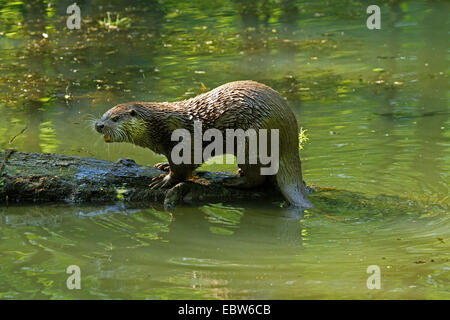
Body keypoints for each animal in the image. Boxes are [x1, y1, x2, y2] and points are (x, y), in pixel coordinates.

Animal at [95, 81, 312, 209]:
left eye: (114, 119)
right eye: (104, 115)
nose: (99, 125)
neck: (161, 125)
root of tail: (290, 138)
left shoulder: (184, 144)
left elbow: (183, 168)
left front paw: (164, 180)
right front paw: (163, 166)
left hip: (251, 141)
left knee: (257, 177)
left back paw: (233, 181)